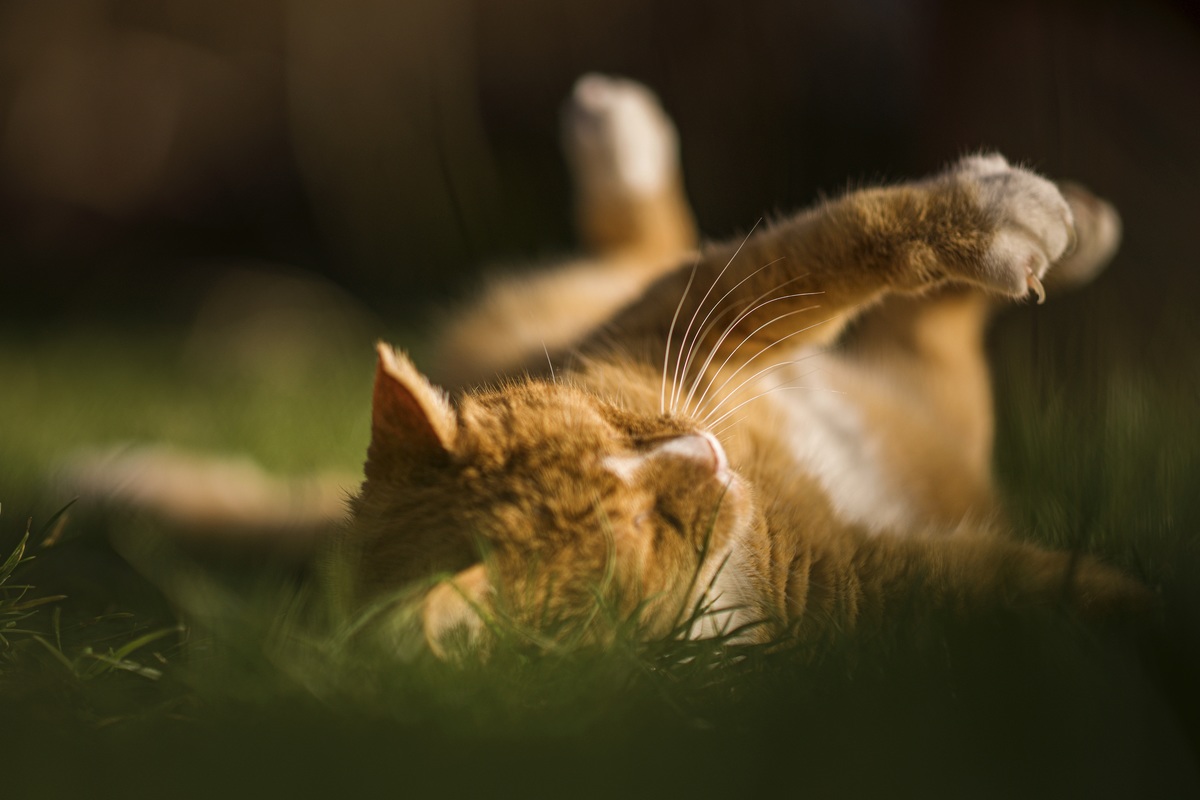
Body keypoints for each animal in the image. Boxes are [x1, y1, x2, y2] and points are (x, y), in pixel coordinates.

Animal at [345, 73, 1142, 657]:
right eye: (645, 527)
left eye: (612, 424)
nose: (706, 452)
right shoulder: (858, 584)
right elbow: (1028, 583)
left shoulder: (681, 321)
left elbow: (825, 242)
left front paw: (993, 216)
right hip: (935, 403)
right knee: (935, 339)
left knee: (654, 247)